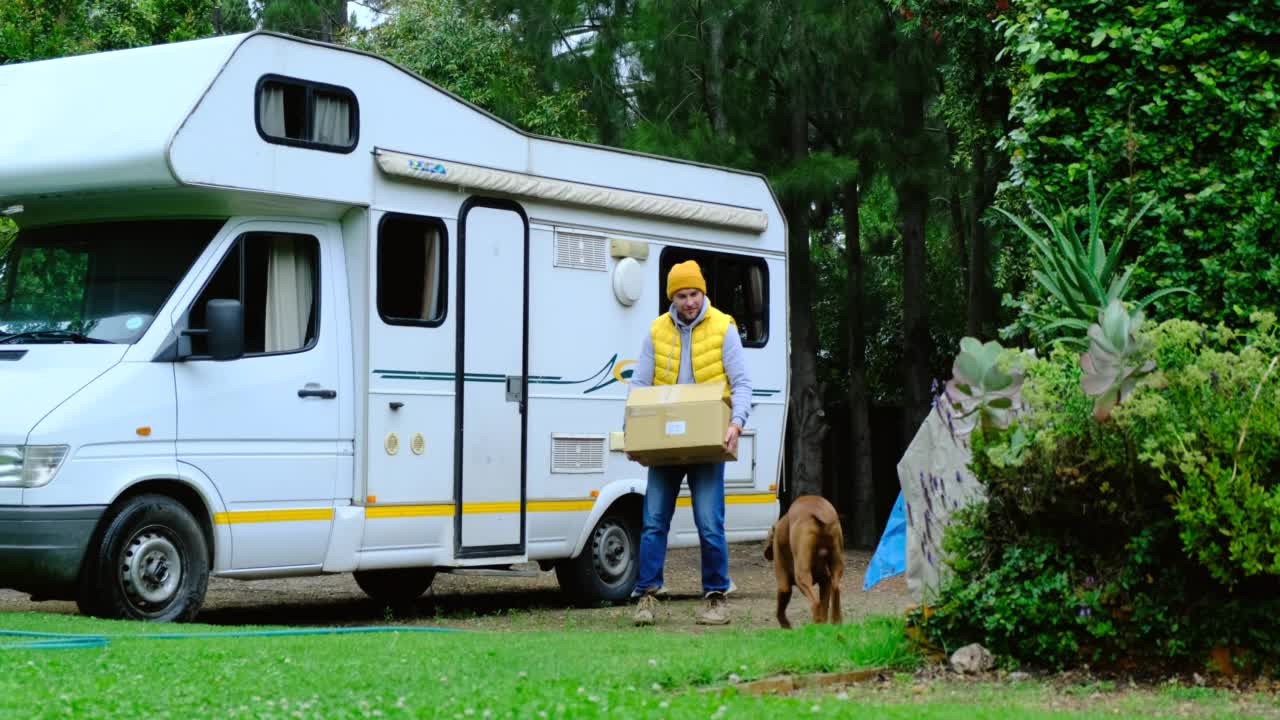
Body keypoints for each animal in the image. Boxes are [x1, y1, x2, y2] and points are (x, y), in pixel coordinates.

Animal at [762, 489, 844, 625]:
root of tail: (819, 512)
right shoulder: (825, 581)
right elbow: (825, 607)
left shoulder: (784, 586)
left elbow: (779, 613)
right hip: (836, 566)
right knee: (835, 590)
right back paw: (836, 622)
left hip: (801, 577)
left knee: (815, 603)